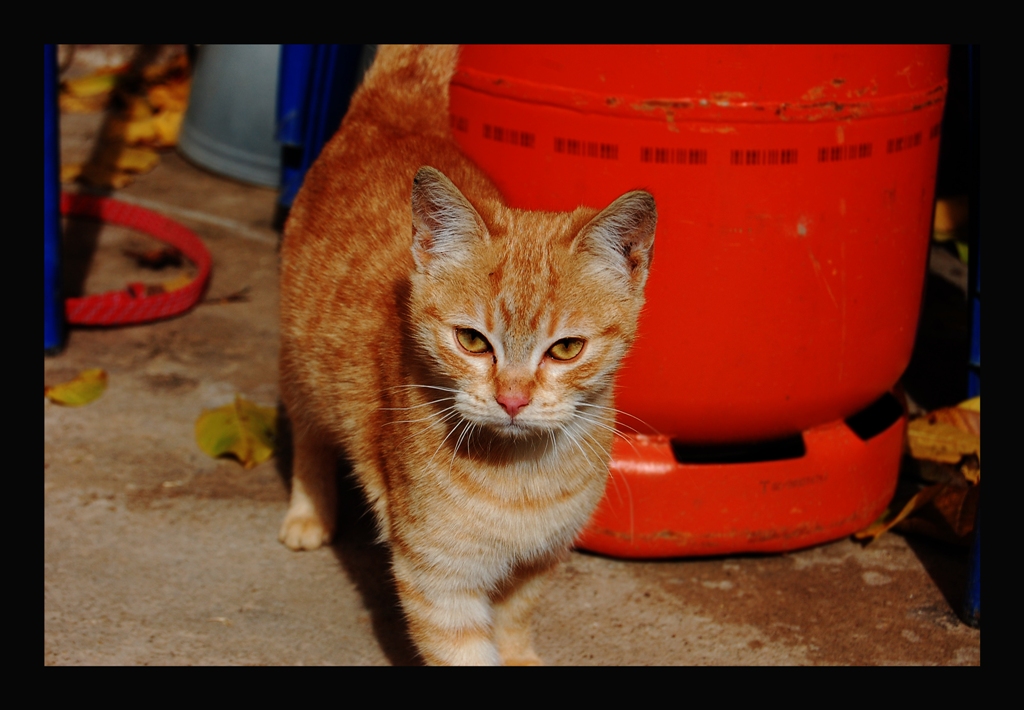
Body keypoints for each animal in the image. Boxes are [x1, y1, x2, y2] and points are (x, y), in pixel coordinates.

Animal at [276, 45, 655, 663]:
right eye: (473, 341)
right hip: (302, 369)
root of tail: (397, 107)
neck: (522, 479)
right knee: (308, 437)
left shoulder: (535, 565)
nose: (513, 400)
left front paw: (522, 655)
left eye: (566, 348)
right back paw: (310, 515)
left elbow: (516, 624)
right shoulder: (439, 582)